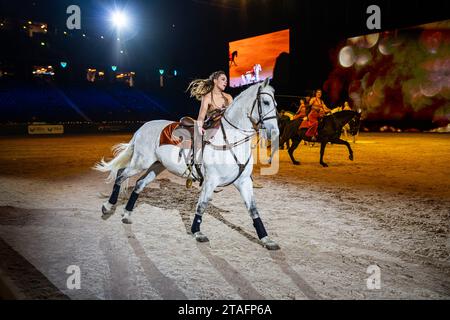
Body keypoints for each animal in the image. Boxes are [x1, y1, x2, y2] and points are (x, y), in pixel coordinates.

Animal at [93, 79, 280, 250]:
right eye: (265, 102)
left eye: (276, 104)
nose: (274, 132)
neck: (229, 141)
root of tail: (142, 128)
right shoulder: (211, 180)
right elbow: (202, 205)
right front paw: (197, 231)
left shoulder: (244, 182)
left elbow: (253, 210)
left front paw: (266, 239)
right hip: (141, 162)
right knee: (121, 174)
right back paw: (107, 207)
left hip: (157, 166)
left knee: (139, 184)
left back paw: (126, 214)